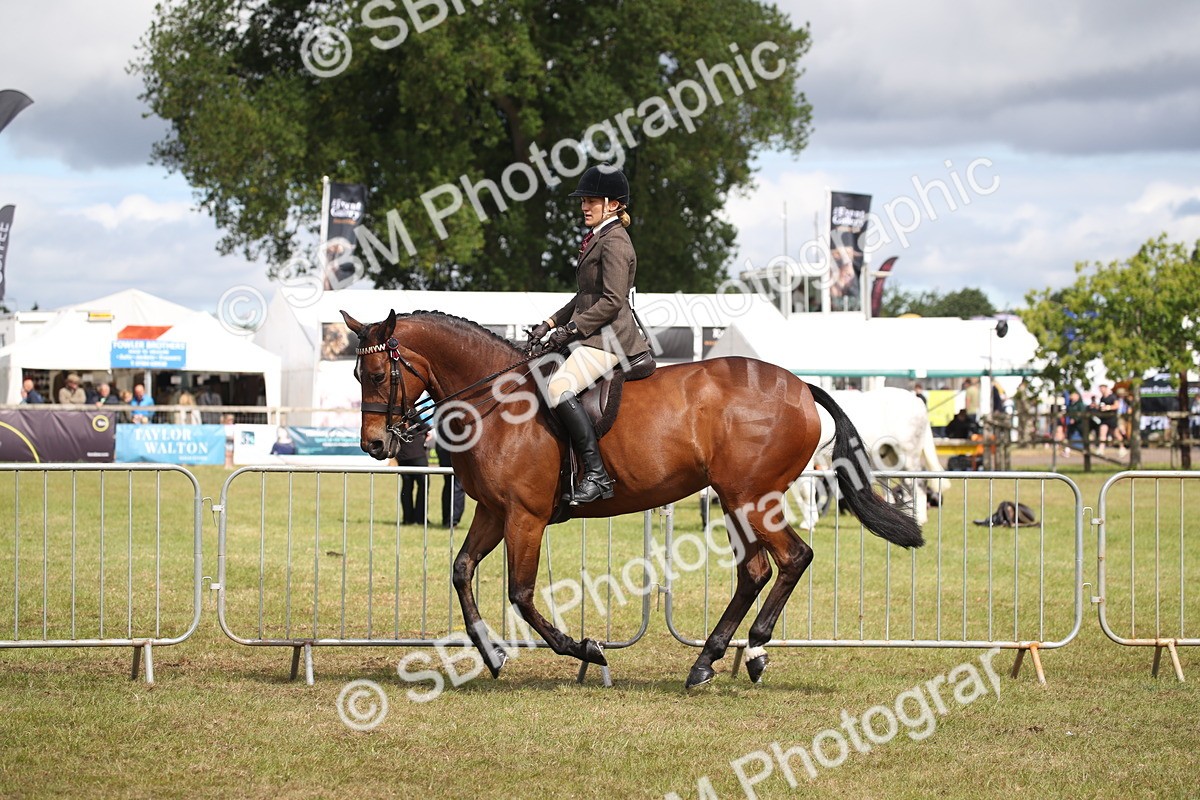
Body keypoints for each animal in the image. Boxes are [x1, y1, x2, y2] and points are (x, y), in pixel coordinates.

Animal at [342, 309, 924, 688]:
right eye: (356, 374)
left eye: (377, 374)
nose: (375, 446)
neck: (498, 402)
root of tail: (803, 386)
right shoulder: (493, 510)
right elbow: (462, 570)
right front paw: (491, 652)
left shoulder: (525, 517)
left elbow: (522, 594)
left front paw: (587, 650)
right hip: (736, 501)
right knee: (756, 570)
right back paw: (708, 660)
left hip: (753, 498)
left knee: (793, 558)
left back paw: (753, 650)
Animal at [794, 387, 952, 531]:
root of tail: (917, 401)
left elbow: (804, 490)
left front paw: (809, 524)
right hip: (891, 457)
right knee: (907, 483)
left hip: (908, 455)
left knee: (918, 482)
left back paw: (919, 518)